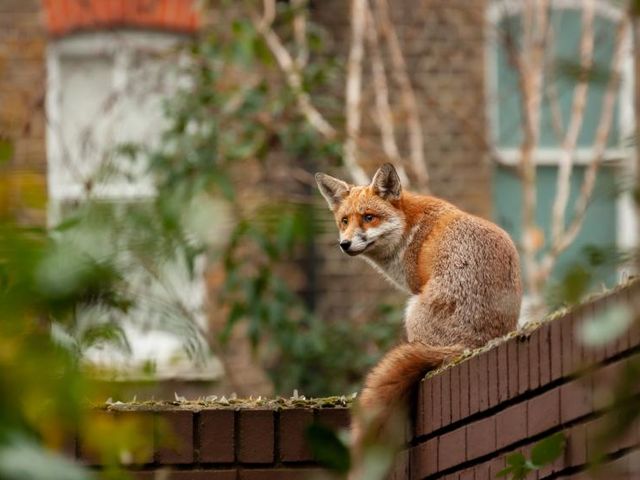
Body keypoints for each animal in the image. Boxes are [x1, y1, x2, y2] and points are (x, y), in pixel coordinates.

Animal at [316, 163, 522, 474]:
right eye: (344, 221)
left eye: (368, 217)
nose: (345, 244)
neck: (409, 229)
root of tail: (471, 344)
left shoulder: (414, 286)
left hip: (410, 311)